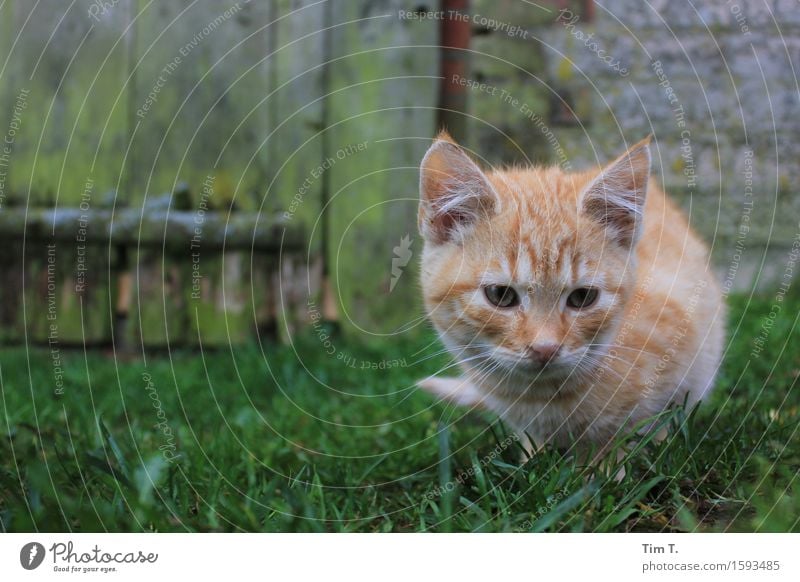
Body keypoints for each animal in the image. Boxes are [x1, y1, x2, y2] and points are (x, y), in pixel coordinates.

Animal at [418, 135, 724, 464]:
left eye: (583, 297)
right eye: (501, 295)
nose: (545, 348)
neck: (542, 396)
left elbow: (638, 431)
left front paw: (609, 468)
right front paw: (535, 462)